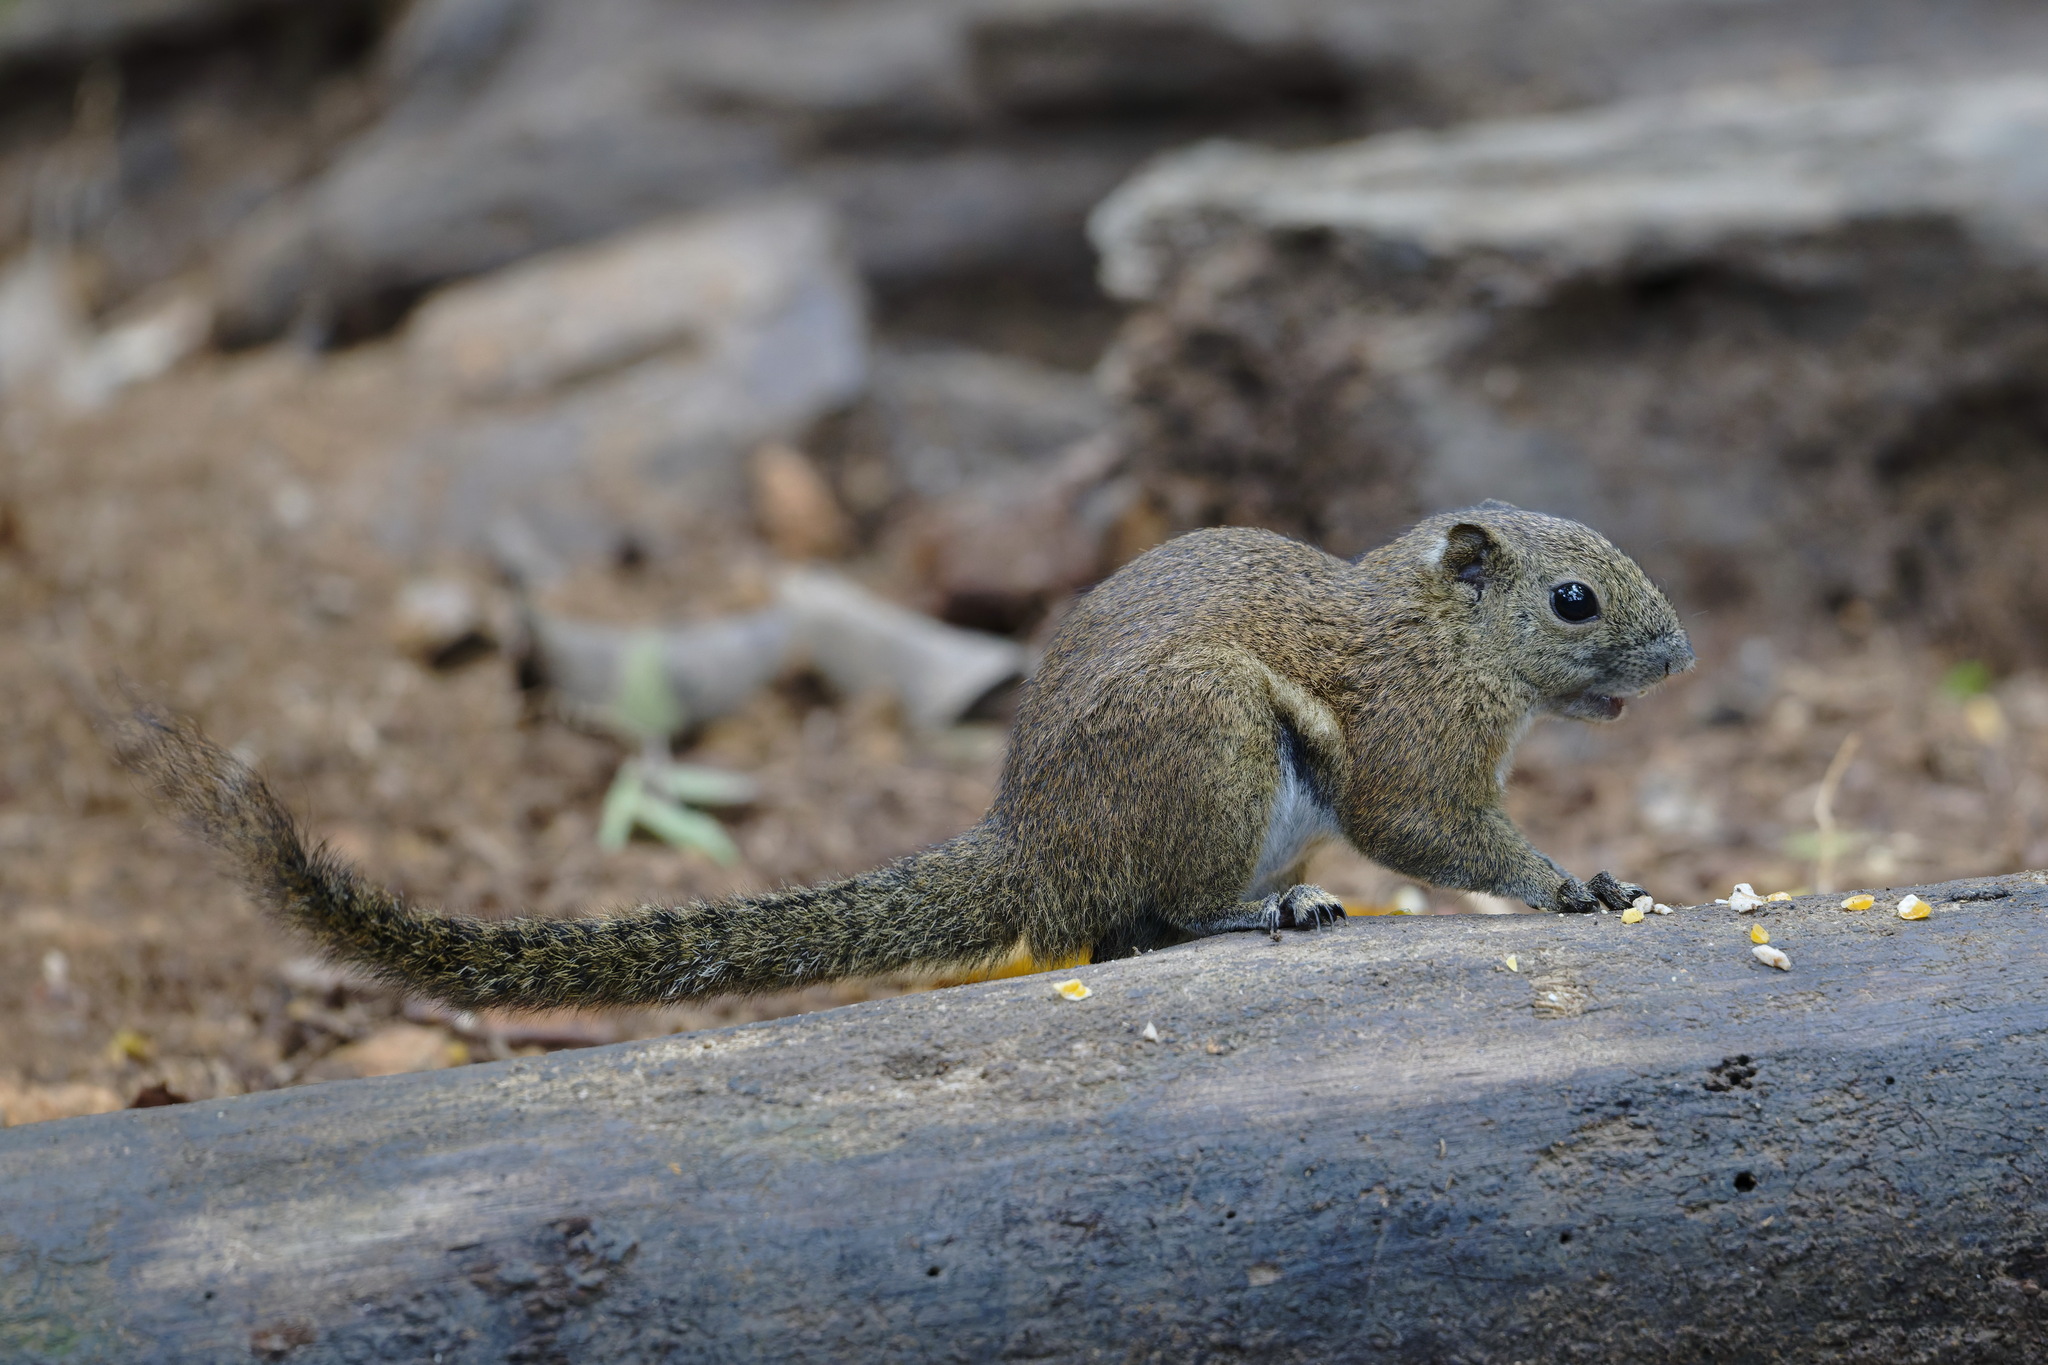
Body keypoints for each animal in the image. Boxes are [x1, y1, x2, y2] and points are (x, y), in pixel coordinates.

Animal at [118, 501, 1693, 1010]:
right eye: (1574, 600)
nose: (1680, 655)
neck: (1441, 631)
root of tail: (1029, 848)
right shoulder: (1413, 751)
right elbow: (1436, 830)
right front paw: (1578, 886)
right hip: (1210, 746)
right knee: (1157, 916)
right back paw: (1267, 910)